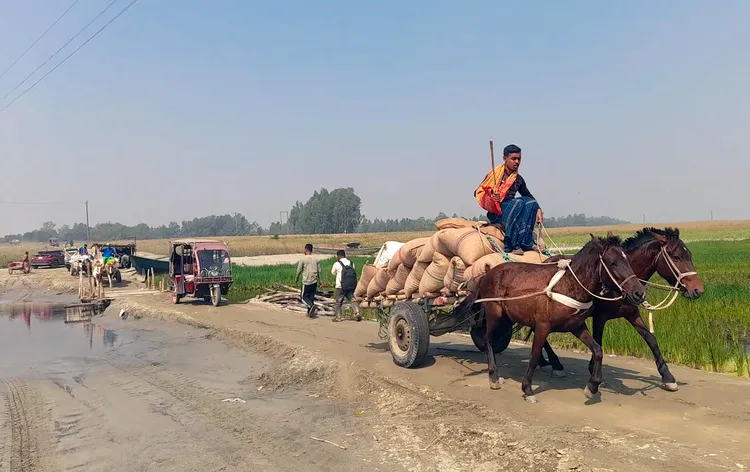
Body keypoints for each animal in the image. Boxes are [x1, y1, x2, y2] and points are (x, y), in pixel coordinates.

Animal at [456, 232, 648, 402]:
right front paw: (528, 389)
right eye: (613, 263)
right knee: (488, 339)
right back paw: (494, 376)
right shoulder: (543, 326)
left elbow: (598, 350)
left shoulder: (577, 325)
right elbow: (533, 356)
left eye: (627, 259)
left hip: (508, 318)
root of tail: (487, 274)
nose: (639, 293)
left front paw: (592, 386)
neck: (568, 285)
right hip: (495, 313)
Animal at [536, 229, 708, 390]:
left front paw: (668, 377)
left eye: (689, 255)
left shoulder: (632, 314)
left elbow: (651, 339)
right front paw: (593, 372)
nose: (698, 290)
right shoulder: (600, 317)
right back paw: (555, 364)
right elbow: (598, 341)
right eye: (676, 257)